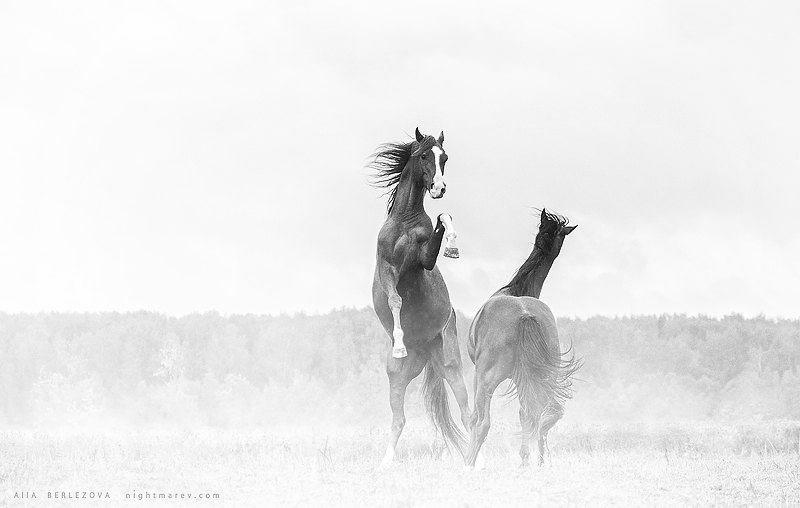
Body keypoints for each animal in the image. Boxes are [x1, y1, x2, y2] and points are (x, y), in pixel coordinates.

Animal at [372, 128, 472, 468]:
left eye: (445, 157)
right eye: (424, 155)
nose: (439, 188)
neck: (405, 221)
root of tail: (428, 352)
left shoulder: (423, 261)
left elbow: (445, 216)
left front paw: (453, 246)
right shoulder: (388, 268)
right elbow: (396, 301)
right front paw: (399, 343)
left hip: (450, 365)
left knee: (468, 414)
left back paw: (477, 460)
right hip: (397, 376)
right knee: (398, 419)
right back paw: (386, 462)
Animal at [462, 209, 580, 468]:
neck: (517, 289)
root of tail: (524, 315)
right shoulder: (524, 377)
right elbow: (526, 414)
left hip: (485, 378)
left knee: (481, 421)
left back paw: (468, 462)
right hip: (543, 375)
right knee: (539, 415)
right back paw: (537, 461)